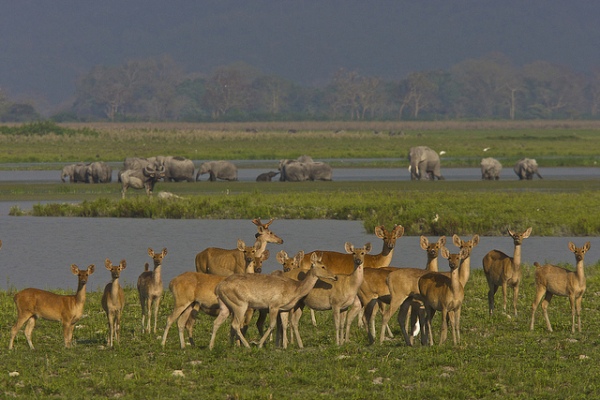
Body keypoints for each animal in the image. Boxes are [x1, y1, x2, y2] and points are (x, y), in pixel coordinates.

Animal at [209, 253, 338, 350]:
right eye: (323, 266)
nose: (335, 276)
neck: (295, 289)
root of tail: (218, 287)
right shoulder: (273, 305)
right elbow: (272, 325)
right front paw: (260, 344)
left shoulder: (284, 308)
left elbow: (284, 324)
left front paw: (284, 346)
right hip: (240, 304)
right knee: (235, 324)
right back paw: (247, 346)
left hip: (225, 305)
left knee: (216, 322)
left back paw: (212, 346)